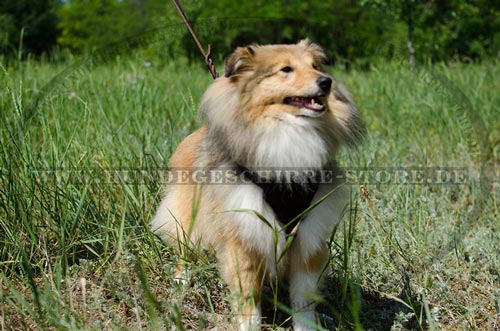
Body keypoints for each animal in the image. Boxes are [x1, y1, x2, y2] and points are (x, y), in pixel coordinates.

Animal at [150, 40, 366, 330]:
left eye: (315, 66)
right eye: (286, 69)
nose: (326, 82)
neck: (287, 133)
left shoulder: (308, 237)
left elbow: (303, 300)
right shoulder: (243, 237)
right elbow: (248, 299)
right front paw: (248, 325)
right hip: (189, 218)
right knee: (185, 252)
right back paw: (180, 284)